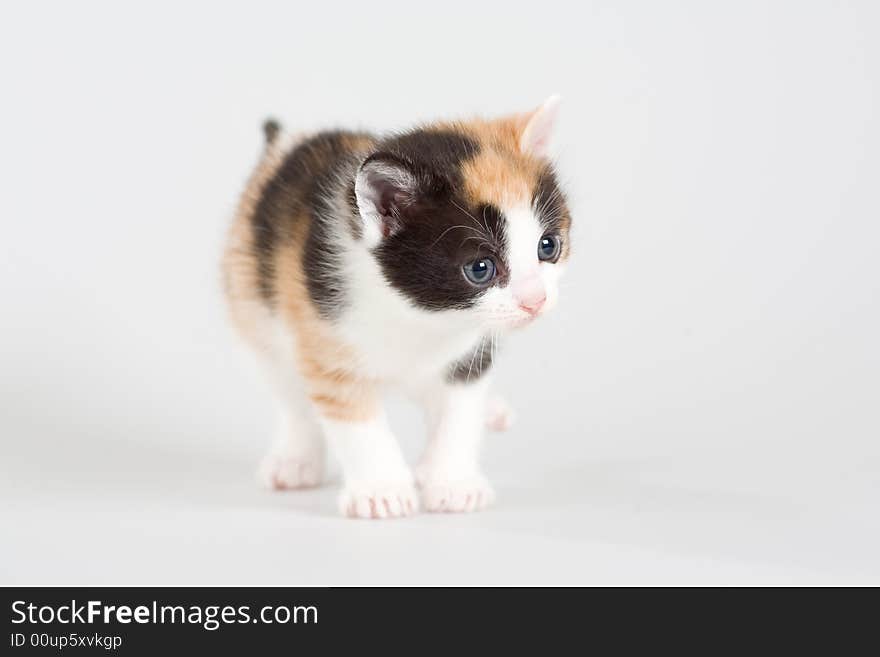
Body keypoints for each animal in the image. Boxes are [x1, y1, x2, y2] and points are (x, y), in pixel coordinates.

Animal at [222, 97, 572, 516]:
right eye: (480, 268)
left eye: (548, 246)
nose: (535, 300)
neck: (421, 315)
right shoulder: (324, 336)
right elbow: (354, 420)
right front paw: (381, 491)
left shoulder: (470, 355)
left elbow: (459, 412)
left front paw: (452, 483)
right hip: (256, 307)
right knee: (290, 392)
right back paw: (296, 459)